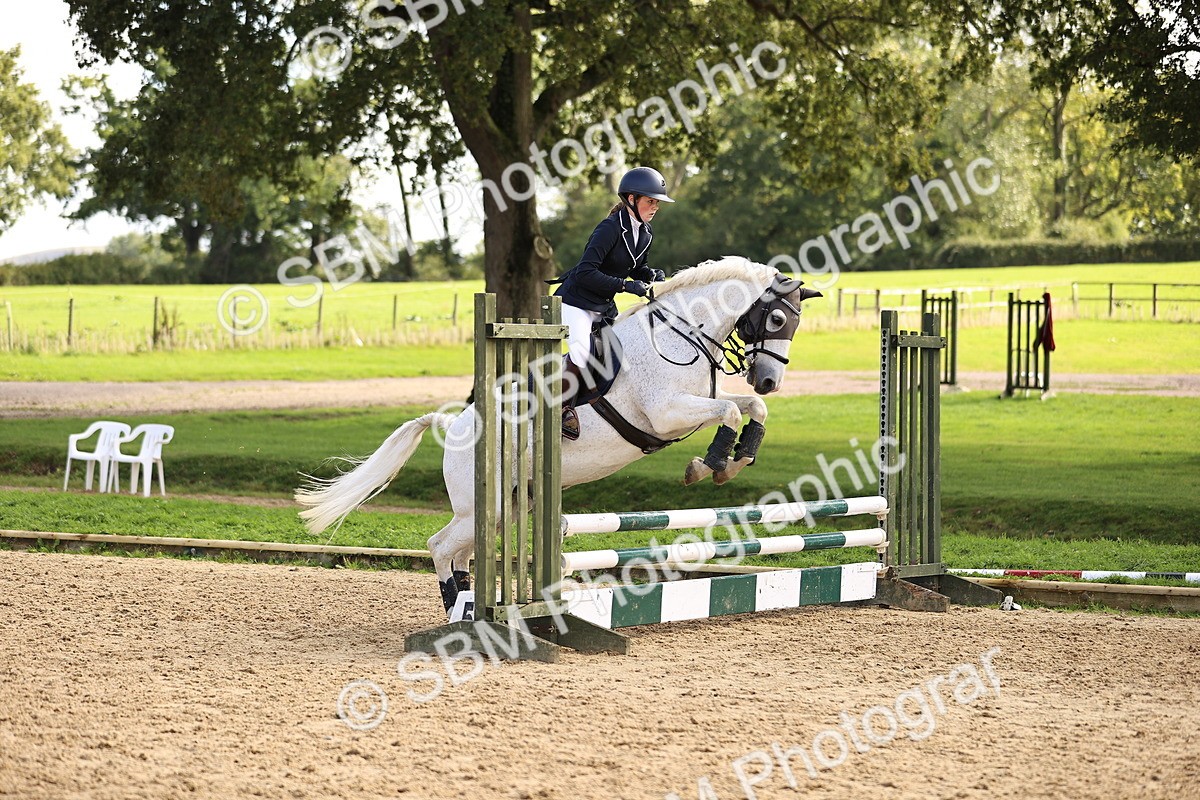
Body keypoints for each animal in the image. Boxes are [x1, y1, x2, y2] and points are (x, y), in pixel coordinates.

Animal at [294, 257, 822, 615]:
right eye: (777, 319)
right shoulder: (666, 413)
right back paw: (456, 613)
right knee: (441, 547)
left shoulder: (692, 407)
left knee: (460, 551)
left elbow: (748, 408)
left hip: (507, 507)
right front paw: (708, 465)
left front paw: (739, 458)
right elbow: (730, 409)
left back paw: (467, 608)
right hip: (485, 506)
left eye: (796, 325)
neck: (682, 334)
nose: (769, 379)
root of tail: (453, 425)